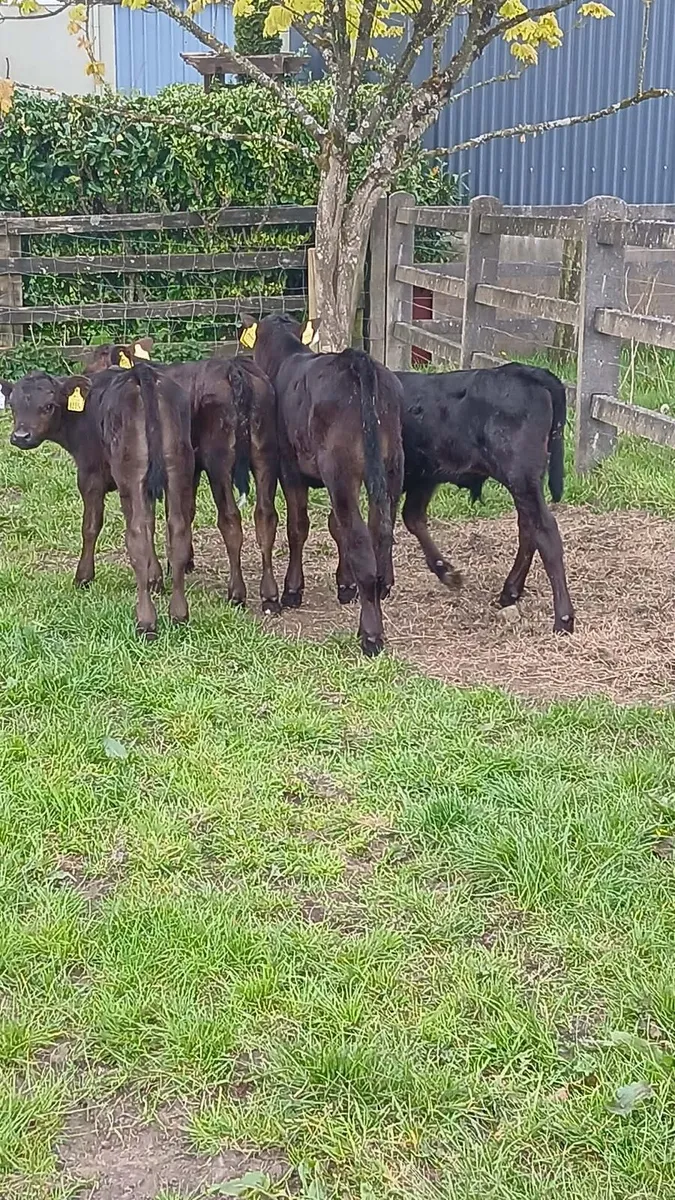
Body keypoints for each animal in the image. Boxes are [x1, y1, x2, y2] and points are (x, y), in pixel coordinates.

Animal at [5, 363, 194, 638]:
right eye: (12, 405)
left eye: (48, 406)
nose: (21, 436)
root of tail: (141, 373)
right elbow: (150, 523)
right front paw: (155, 578)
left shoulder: (89, 475)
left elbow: (91, 526)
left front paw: (83, 577)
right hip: (178, 468)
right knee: (178, 532)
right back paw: (179, 615)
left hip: (131, 473)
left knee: (136, 537)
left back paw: (146, 622)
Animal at [84, 340, 280, 615]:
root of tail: (234, 366)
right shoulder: (189, 469)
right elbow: (186, 512)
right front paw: (184, 561)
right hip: (265, 455)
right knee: (265, 515)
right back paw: (270, 595)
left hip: (219, 461)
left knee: (230, 518)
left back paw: (236, 592)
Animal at [241, 313, 404, 657]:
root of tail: (356, 362)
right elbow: (334, 526)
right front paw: (345, 585)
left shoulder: (289, 468)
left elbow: (297, 526)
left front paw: (292, 590)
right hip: (392, 466)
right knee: (380, 531)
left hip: (340, 470)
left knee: (360, 540)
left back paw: (370, 635)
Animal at [330, 360, 574, 634]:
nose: (345, 590)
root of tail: (522, 370)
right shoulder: (423, 477)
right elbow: (406, 519)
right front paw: (442, 572)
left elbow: (375, 525)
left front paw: (379, 584)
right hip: (525, 483)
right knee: (528, 529)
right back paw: (510, 591)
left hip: (521, 478)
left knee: (545, 531)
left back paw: (563, 618)